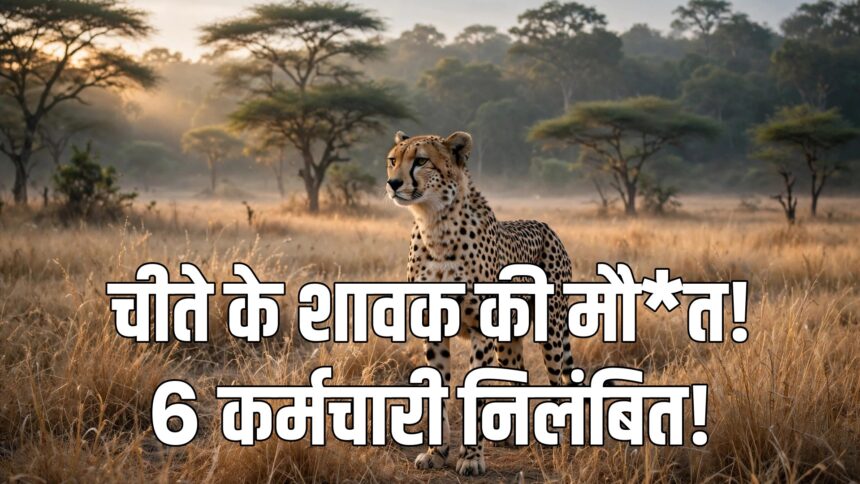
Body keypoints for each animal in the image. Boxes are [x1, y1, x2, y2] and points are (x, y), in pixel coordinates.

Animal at [385, 130, 577, 476]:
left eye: (421, 161)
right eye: (393, 160)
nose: (393, 183)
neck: (435, 226)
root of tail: (545, 225)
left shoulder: (481, 329)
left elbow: (476, 393)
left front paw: (471, 457)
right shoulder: (433, 328)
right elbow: (437, 390)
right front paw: (436, 452)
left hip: (552, 331)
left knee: (558, 383)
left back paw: (553, 439)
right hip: (509, 339)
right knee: (518, 375)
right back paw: (512, 436)